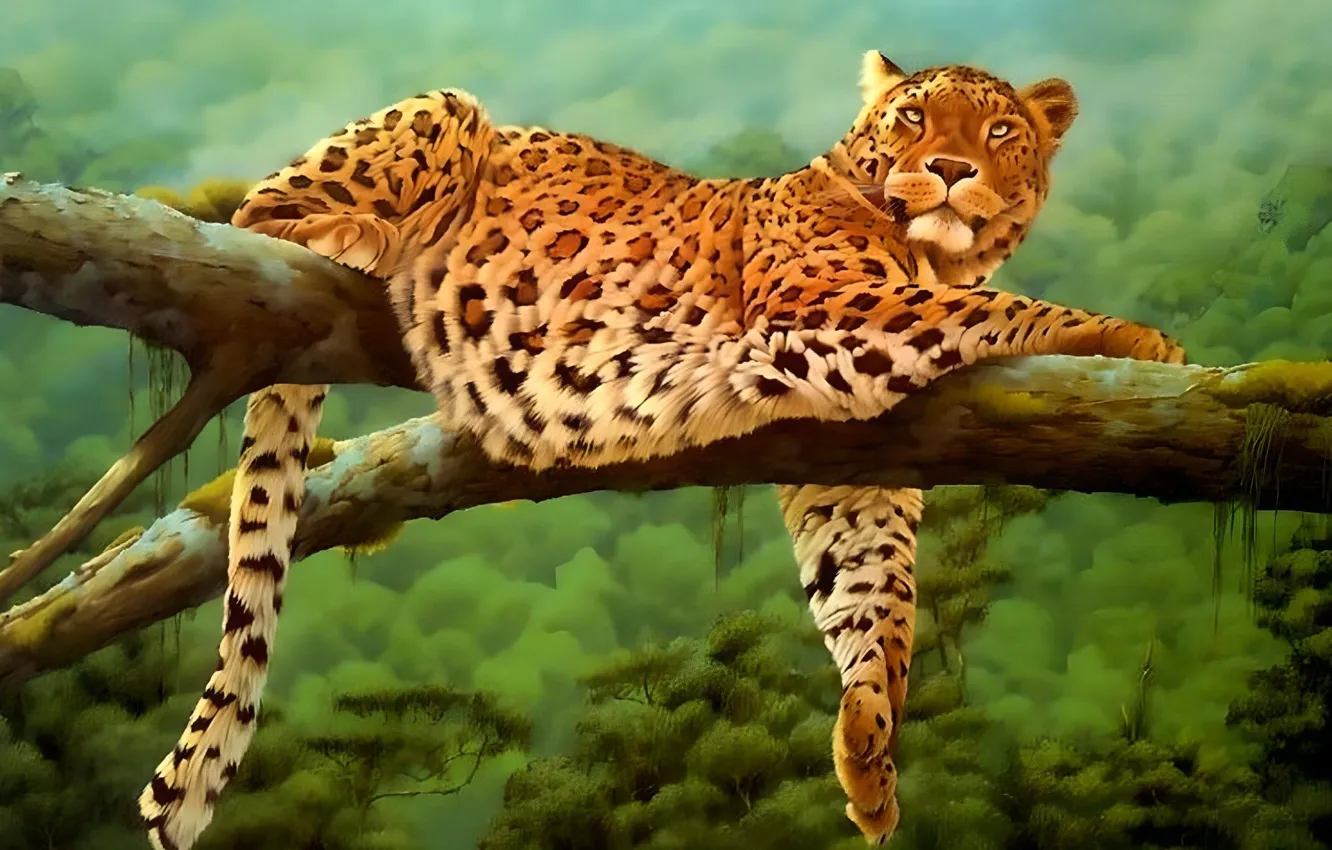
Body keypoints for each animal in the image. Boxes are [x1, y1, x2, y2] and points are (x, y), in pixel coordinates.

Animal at [139, 49, 1186, 850]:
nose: (954, 169)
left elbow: (872, 591)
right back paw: (362, 231)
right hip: (442, 113)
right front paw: (1141, 341)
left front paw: (869, 745)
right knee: (254, 214)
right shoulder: (828, 307)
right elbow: (1002, 309)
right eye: (915, 117)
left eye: (999, 133)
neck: (932, 248)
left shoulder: (850, 454)